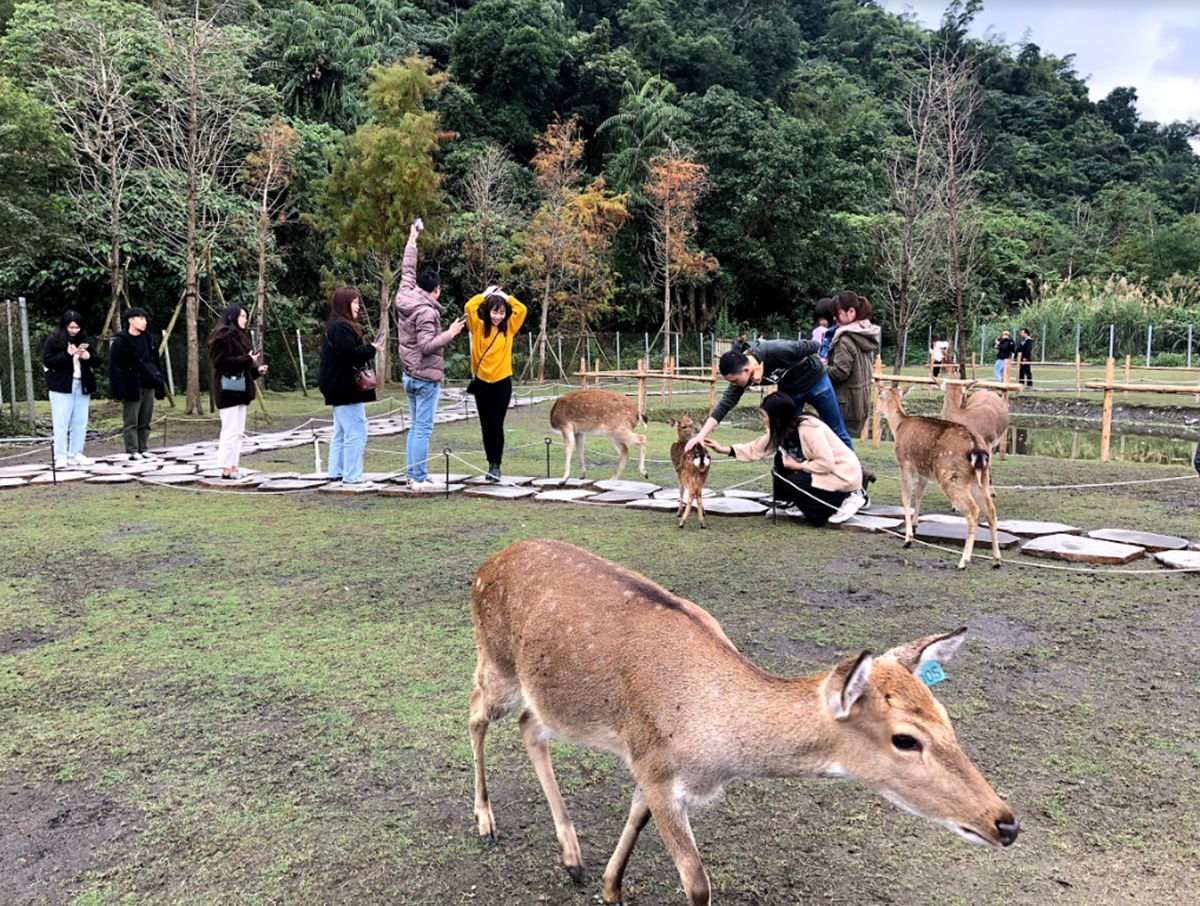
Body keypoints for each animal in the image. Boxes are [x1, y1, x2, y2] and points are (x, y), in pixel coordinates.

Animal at [469, 539, 1019, 906]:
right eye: (905, 739)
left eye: (946, 717)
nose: (1006, 823)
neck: (718, 752)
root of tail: (484, 566)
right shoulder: (655, 765)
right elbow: (696, 883)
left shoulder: (650, 762)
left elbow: (634, 817)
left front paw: (609, 888)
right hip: (497, 663)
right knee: (476, 712)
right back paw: (486, 823)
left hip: (547, 699)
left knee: (528, 725)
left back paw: (572, 859)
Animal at [876, 386, 1002, 569]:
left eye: (879, 395)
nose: (875, 409)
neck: (898, 426)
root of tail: (977, 449)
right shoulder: (924, 472)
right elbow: (919, 494)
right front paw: (915, 524)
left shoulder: (905, 463)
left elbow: (906, 498)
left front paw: (908, 539)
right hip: (981, 478)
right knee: (991, 510)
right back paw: (996, 560)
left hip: (951, 476)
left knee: (973, 510)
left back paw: (963, 561)